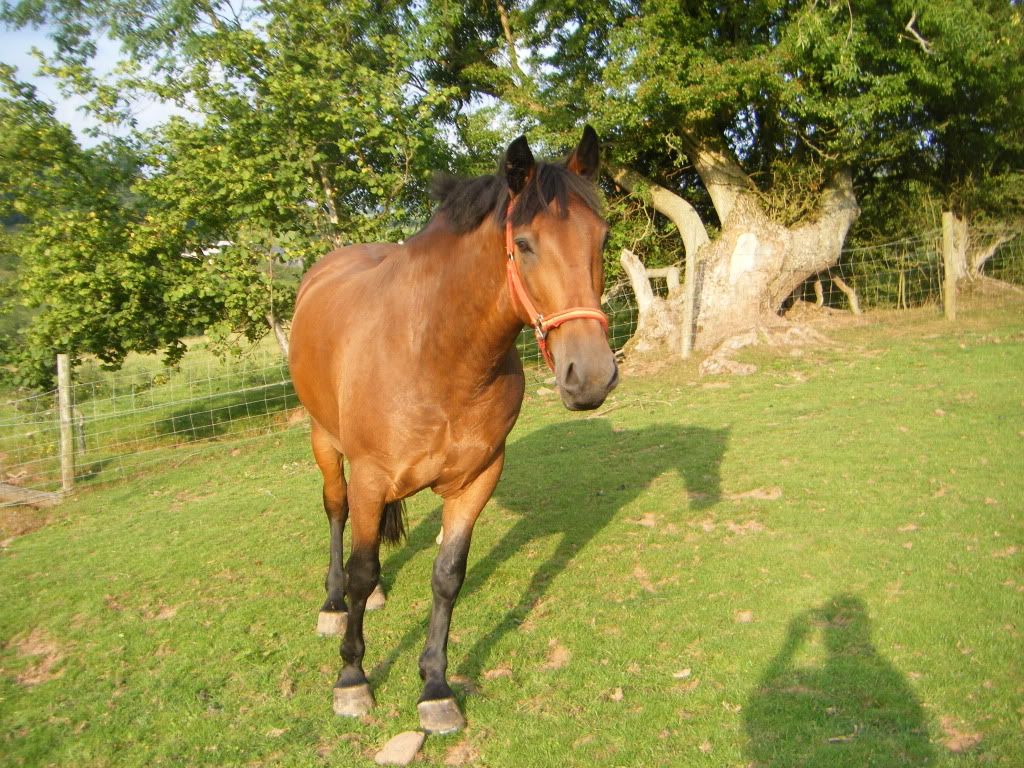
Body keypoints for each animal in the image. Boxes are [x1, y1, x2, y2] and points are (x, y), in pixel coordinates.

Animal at [288, 126, 614, 733]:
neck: (434, 352)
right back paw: (333, 603)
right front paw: (352, 679)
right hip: (325, 443)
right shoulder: (370, 477)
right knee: (337, 514)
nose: (591, 376)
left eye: (601, 239)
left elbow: (447, 577)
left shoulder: (477, 478)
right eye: (525, 244)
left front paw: (435, 688)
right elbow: (362, 568)